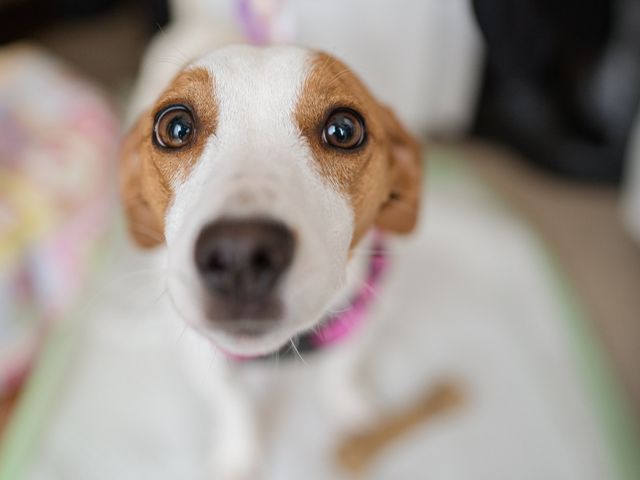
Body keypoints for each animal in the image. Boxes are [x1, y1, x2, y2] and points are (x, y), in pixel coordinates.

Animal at [122, 44, 422, 476]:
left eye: (344, 129)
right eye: (175, 127)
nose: (239, 255)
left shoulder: (364, 320)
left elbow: (343, 370)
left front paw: (350, 410)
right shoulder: (202, 356)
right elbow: (233, 405)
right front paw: (239, 456)